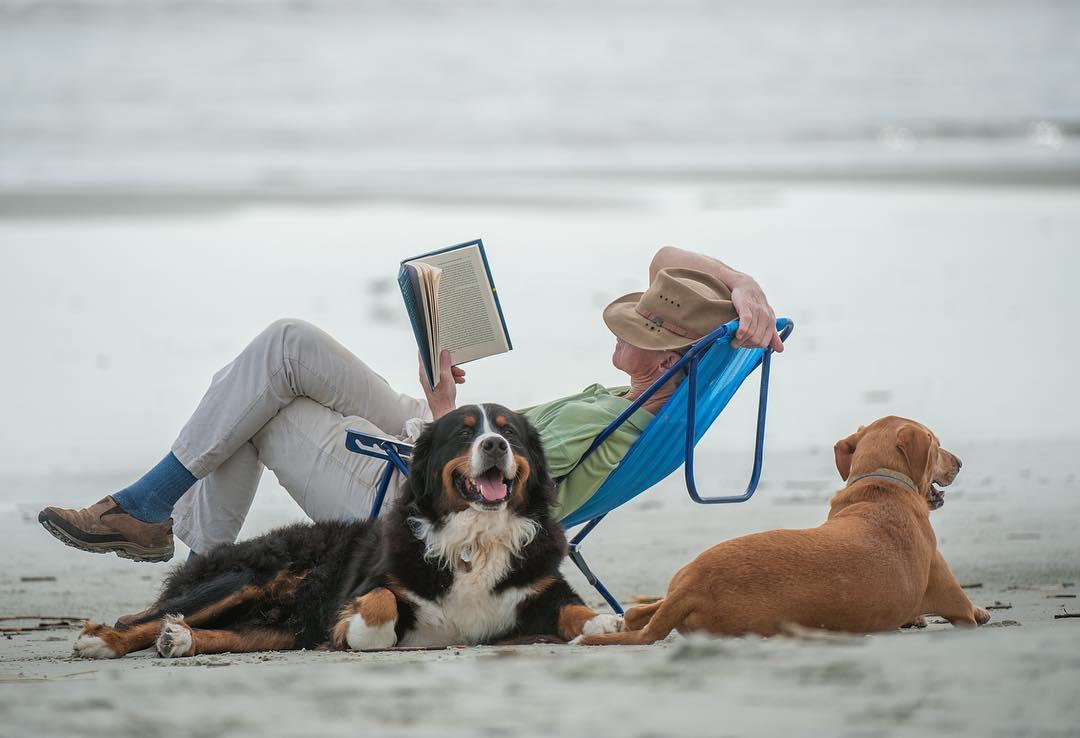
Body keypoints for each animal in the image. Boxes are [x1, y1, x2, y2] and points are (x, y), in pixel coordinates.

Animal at [71, 406, 622, 661]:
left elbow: (572, 607)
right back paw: (105, 642)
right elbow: (378, 603)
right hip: (248, 577)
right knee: (139, 617)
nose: (494, 445)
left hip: (282, 626)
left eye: (508, 432)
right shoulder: (373, 583)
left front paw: (602, 622)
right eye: (466, 432)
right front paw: (359, 629)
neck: (475, 539)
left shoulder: (539, 589)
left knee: (220, 631)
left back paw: (181, 638)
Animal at [578, 419, 989, 643]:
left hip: (677, 580)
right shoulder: (955, 603)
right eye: (938, 445)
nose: (961, 462)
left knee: (635, 613)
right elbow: (967, 611)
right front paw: (981, 611)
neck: (880, 486)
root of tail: (691, 590)